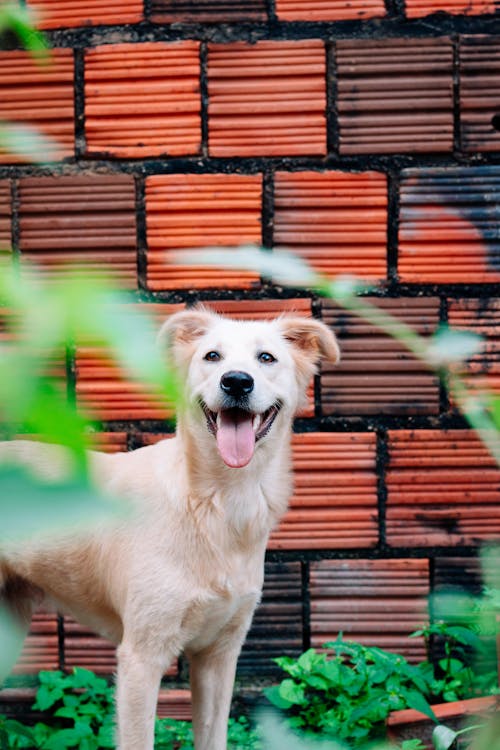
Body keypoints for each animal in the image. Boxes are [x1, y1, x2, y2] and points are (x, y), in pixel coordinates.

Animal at [0, 306, 340, 750]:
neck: (217, 502)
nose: (236, 381)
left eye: (266, 358)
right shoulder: (141, 658)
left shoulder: (218, 655)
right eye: (212, 356)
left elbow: (213, 737)